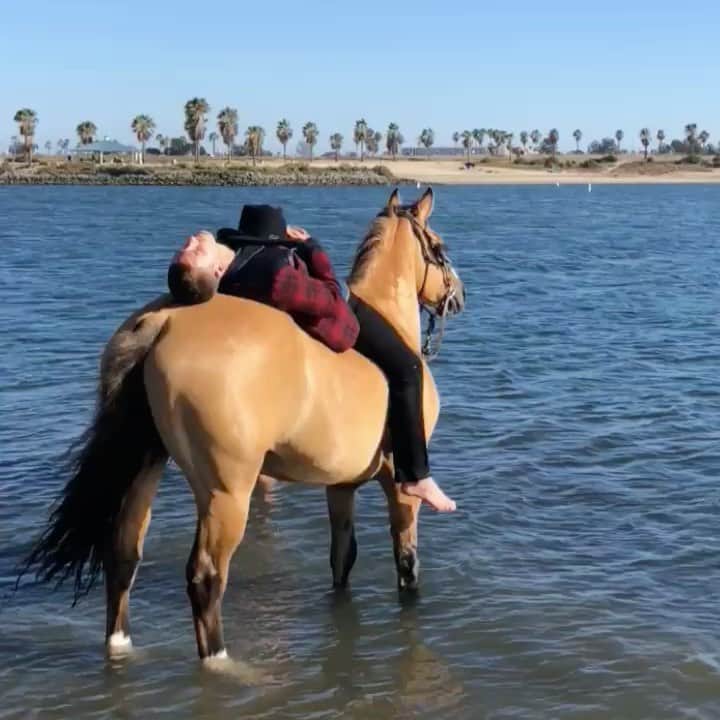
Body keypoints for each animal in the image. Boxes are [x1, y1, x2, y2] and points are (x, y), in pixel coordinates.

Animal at [20, 187, 466, 663]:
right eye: (439, 247)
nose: (459, 294)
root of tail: (163, 321)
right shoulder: (399, 486)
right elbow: (406, 562)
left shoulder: (340, 487)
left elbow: (342, 558)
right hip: (227, 493)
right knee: (206, 577)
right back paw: (220, 662)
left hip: (145, 466)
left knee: (123, 553)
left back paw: (120, 644)